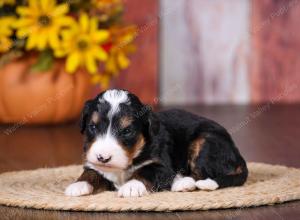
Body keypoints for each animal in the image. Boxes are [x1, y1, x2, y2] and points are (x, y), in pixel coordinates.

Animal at [64, 89, 247, 198]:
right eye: (93, 127)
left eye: (127, 131)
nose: (103, 157)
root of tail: (237, 154)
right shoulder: (93, 163)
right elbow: (91, 173)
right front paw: (78, 185)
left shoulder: (161, 164)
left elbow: (146, 171)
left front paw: (132, 186)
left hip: (204, 141)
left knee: (201, 174)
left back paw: (182, 183)